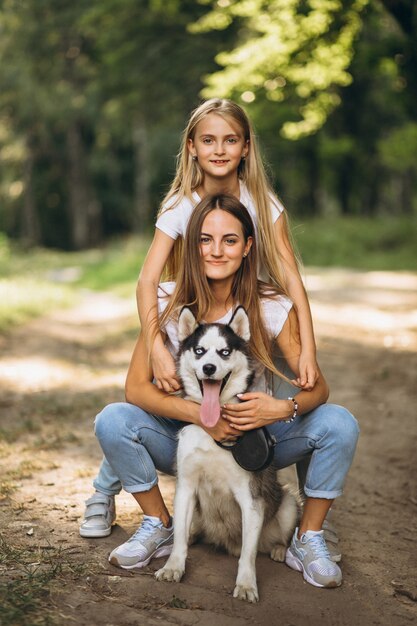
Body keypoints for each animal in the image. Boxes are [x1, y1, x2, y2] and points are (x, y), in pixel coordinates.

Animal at [155, 304, 300, 604]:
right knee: (188, 532)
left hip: (288, 505)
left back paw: (280, 550)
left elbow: (247, 555)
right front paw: (173, 567)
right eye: (199, 350)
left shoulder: (250, 499)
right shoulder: (186, 487)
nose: (209, 368)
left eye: (224, 352)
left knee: (274, 537)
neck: (213, 429)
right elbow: (179, 541)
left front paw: (246, 584)